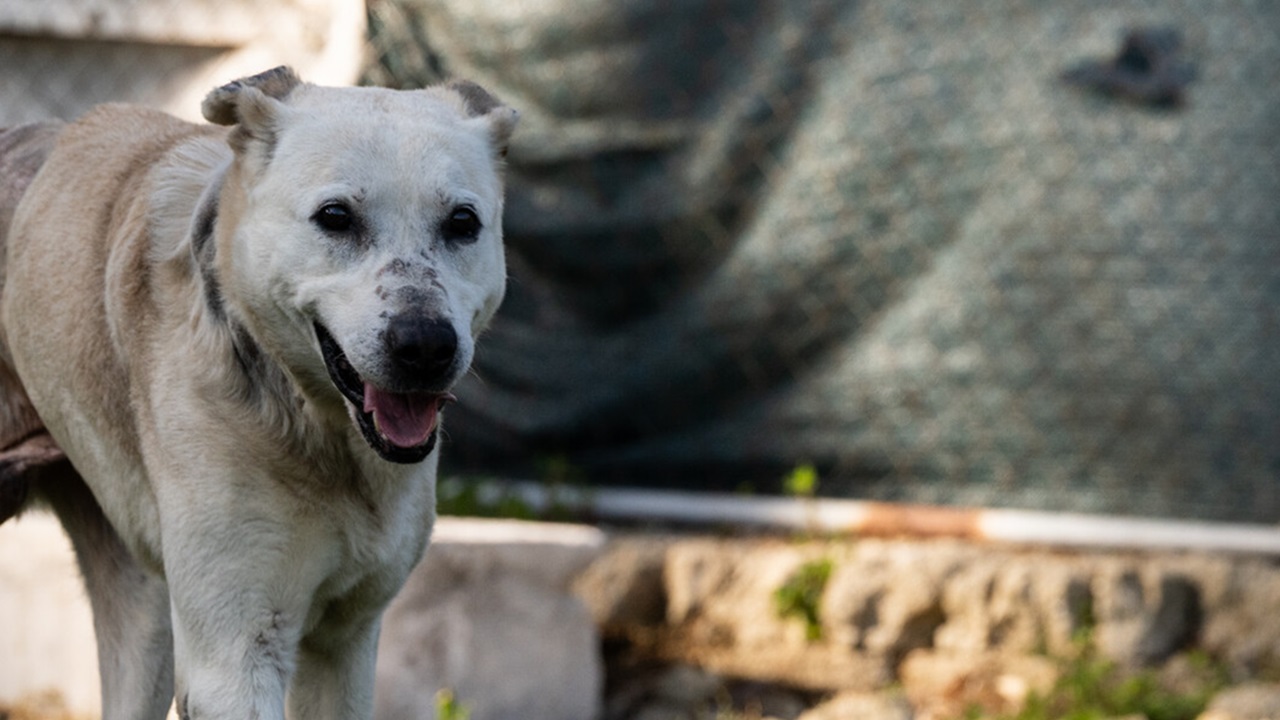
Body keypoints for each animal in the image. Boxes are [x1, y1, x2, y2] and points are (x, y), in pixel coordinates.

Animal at [0, 64, 514, 712]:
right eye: (336, 216)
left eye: (463, 223)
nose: (425, 346)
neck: (324, 440)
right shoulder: (234, 656)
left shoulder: (346, 642)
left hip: (142, 619)